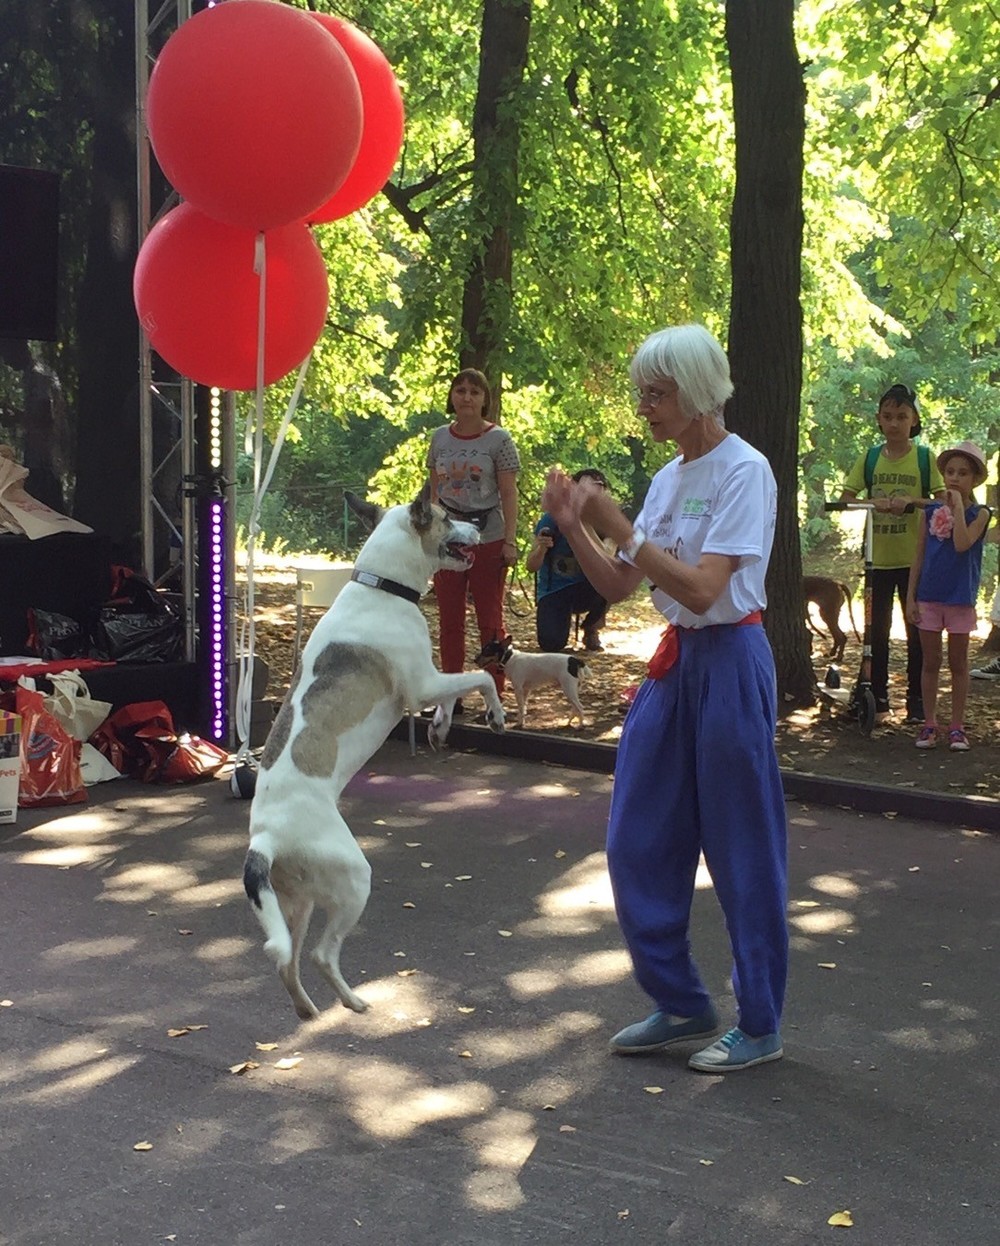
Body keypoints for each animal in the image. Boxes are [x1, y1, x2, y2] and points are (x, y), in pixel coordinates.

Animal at [244, 488, 508, 1021]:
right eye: (447, 516)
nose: (480, 524)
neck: (382, 586)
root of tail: (264, 838)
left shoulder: (426, 683)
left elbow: (453, 695)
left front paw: (441, 728)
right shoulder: (422, 682)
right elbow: (480, 678)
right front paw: (494, 715)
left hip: (296, 904)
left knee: (288, 961)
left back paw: (310, 1011)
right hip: (353, 881)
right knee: (322, 954)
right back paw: (353, 1001)